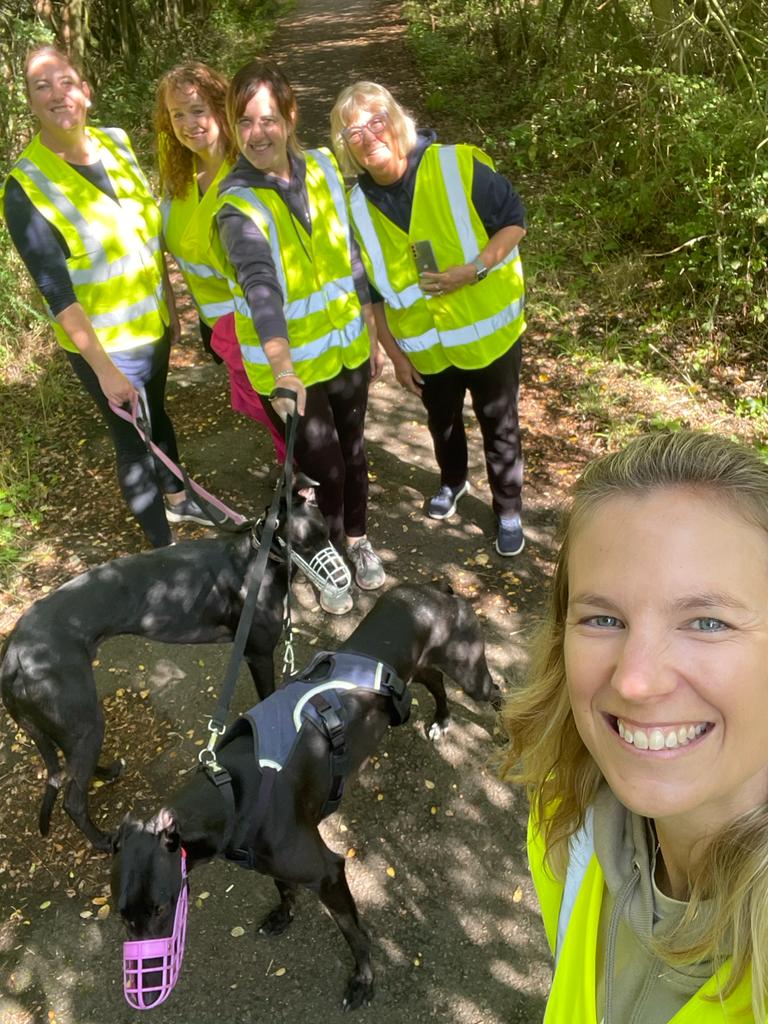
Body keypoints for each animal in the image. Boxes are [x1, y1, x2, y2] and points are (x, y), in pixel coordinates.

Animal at [3, 491, 333, 851]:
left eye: (328, 534)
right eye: (303, 544)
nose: (338, 582)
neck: (258, 557)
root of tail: (15, 654)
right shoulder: (258, 655)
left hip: (68, 727)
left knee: (73, 770)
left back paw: (106, 773)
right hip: (84, 722)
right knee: (72, 800)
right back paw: (103, 840)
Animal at [111, 585, 501, 1007]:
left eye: (161, 908)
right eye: (122, 916)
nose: (144, 991)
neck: (229, 791)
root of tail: (439, 591)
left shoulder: (328, 872)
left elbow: (355, 933)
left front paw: (363, 980)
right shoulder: (265, 859)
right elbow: (283, 886)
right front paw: (284, 915)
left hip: (470, 671)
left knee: (497, 692)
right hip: (421, 669)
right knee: (437, 683)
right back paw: (443, 719)